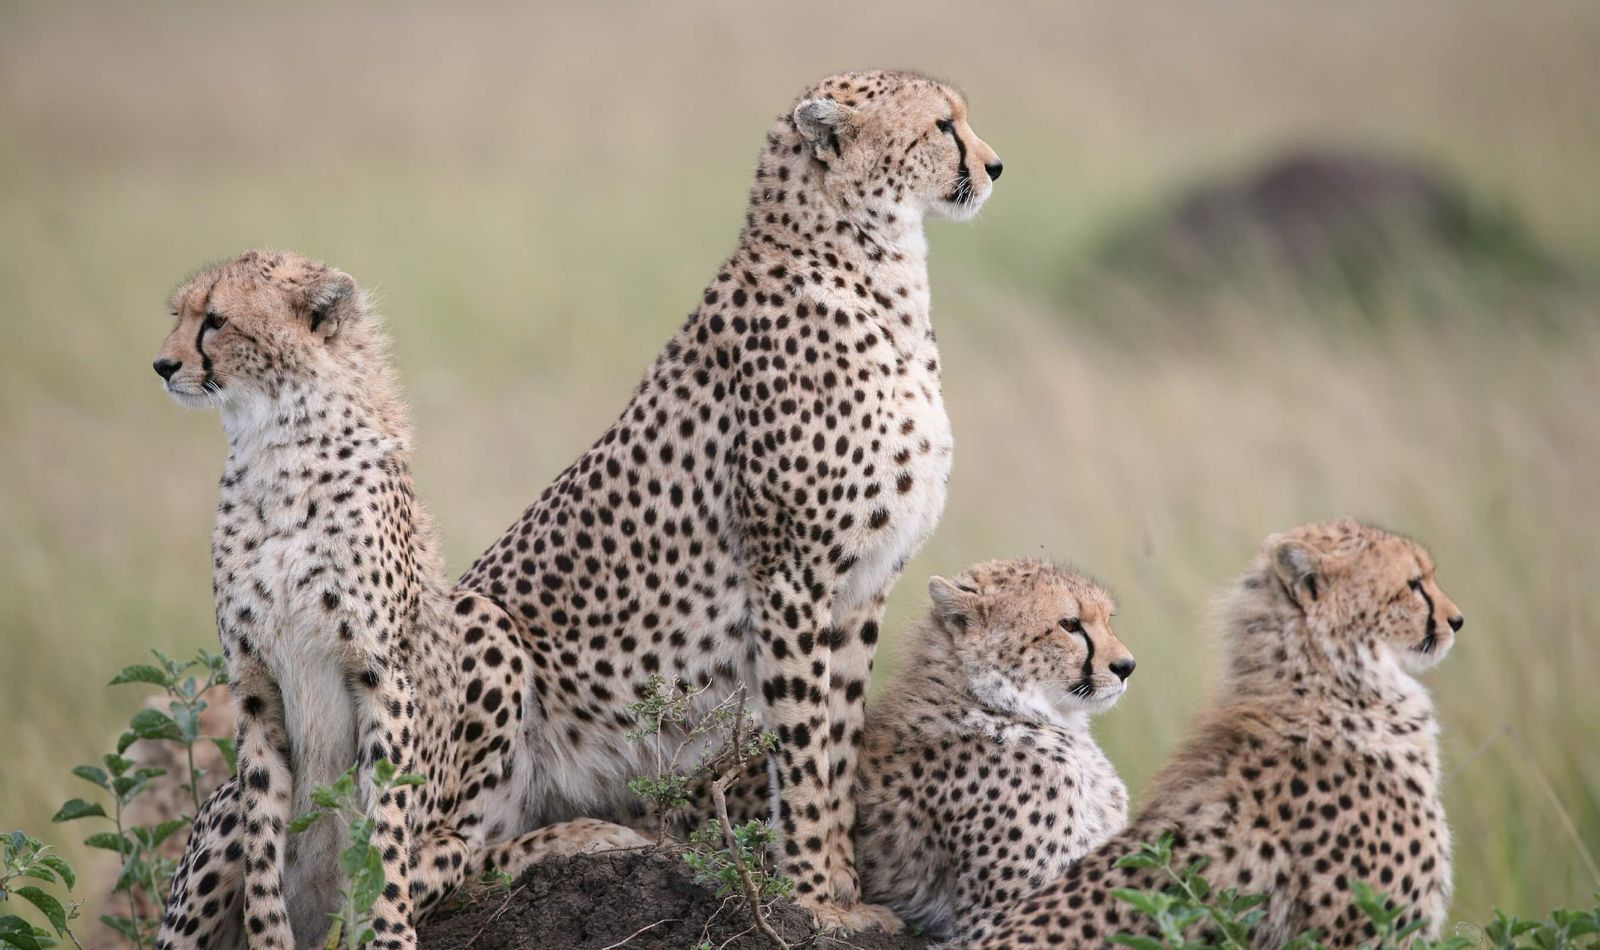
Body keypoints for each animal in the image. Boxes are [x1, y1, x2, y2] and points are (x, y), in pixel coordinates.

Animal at [151, 251, 643, 946]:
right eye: (181, 315)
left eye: (216, 320)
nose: (163, 364)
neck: (276, 443)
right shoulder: (252, 683)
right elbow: (263, 853)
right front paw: (271, 934)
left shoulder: (380, 673)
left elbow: (382, 832)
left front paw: (388, 931)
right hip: (219, 815)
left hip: (478, 670)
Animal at [454, 70, 998, 927]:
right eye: (944, 125)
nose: (996, 165)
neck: (874, 267)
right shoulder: (792, 577)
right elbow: (802, 748)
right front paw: (812, 900)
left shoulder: (862, 587)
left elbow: (839, 742)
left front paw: (844, 886)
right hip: (477, 625)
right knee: (422, 863)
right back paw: (592, 843)